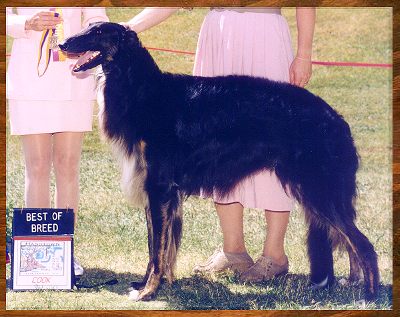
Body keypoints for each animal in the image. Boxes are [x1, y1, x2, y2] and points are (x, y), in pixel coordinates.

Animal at [58, 22, 378, 302]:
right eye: (88, 27)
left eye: (98, 32)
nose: (62, 44)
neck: (143, 88)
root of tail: (335, 119)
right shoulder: (158, 191)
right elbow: (156, 247)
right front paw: (151, 284)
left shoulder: (159, 187)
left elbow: (157, 250)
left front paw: (148, 291)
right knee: (350, 241)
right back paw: (352, 284)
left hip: (319, 189)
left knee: (363, 244)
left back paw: (370, 295)